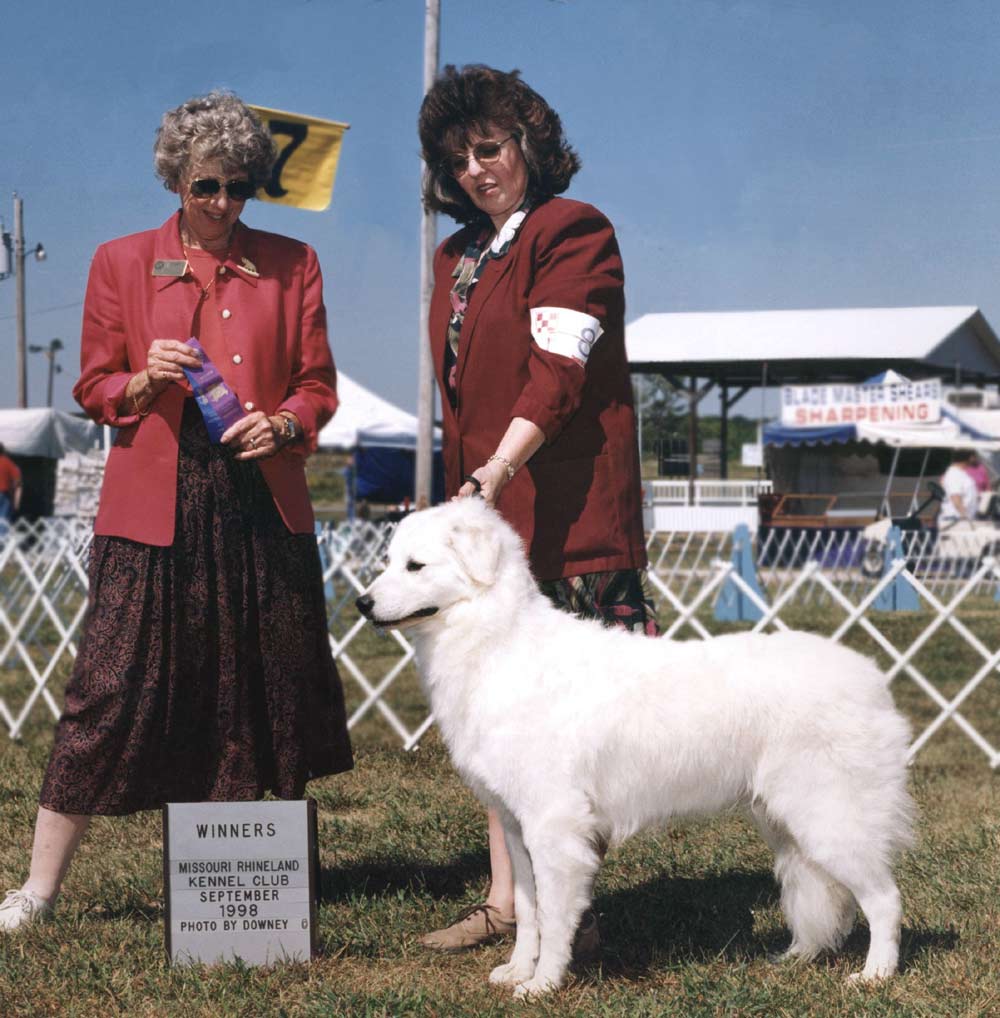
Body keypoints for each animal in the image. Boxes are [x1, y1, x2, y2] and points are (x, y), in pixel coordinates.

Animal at [356, 496, 920, 997]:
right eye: (387, 561)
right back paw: (799, 956)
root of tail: (872, 679)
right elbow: (528, 909)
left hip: (829, 818)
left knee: (885, 899)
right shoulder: (516, 826)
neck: (499, 642)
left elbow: (554, 916)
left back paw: (875, 975)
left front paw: (542, 985)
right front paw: (517, 971)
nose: (362, 603)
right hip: (784, 821)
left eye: (415, 566)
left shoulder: (555, 825)